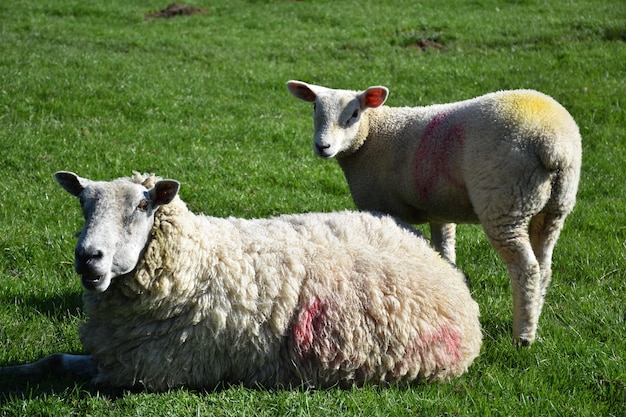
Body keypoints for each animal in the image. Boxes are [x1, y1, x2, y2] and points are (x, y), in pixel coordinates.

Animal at [0, 170, 482, 390]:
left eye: (141, 206)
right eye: (83, 203)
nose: (88, 258)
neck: (195, 262)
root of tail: (440, 264)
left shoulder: (142, 373)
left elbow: (68, 370)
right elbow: (52, 361)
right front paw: (15, 371)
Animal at [286, 80, 580, 344]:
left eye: (354, 114)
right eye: (315, 108)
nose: (322, 146)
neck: (372, 136)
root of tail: (553, 145)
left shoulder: (382, 208)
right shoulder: (440, 209)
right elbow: (445, 251)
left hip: (505, 201)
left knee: (526, 268)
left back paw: (523, 336)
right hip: (555, 207)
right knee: (544, 266)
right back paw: (534, 320)